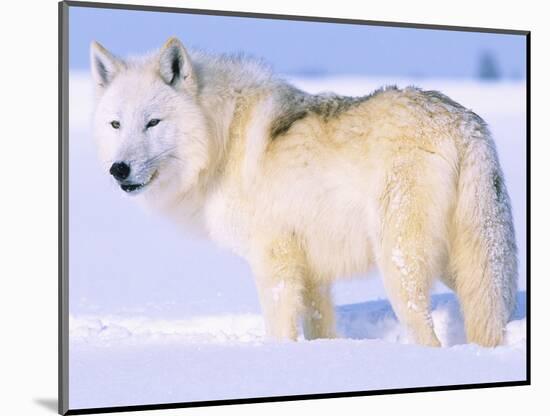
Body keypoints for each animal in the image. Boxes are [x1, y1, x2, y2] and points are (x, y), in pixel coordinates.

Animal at [89, 37, 516, 346]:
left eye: (153, 123)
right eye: (115, 124)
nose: (118, 169)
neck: (221, 141)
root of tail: (464, 122)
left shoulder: (274, 263)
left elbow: (280, 331)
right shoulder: (312, 273)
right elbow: (319, 328)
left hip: (400, 265)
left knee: (429, 336)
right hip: (458, 264)